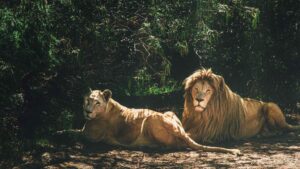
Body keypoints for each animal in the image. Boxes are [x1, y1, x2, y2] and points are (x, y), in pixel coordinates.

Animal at [56, 90, 240, 154]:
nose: (87, 111)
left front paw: (56, 132)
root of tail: (179, 130)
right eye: (87, 101)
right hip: (170, 112)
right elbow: (71, 129)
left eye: (97, 103)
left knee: (174, 145)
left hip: (150, 119)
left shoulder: (90, 135)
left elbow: (72, 132)